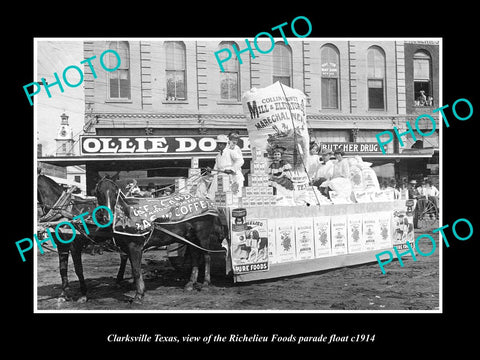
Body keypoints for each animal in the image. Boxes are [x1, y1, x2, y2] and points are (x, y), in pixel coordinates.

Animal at [95, 177, 227, 304]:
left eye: (115, 193)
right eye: (99, 193)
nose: (107, 218)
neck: (128, 214)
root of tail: (208, 202)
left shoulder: (135, 246)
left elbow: (136, 270)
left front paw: (139, 295)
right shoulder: (126, 247)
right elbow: (129, 264)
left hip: (202, 236)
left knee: (207, 256)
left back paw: (205, 283)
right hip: (190, 237)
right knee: (195, 255)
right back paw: (191, 283)